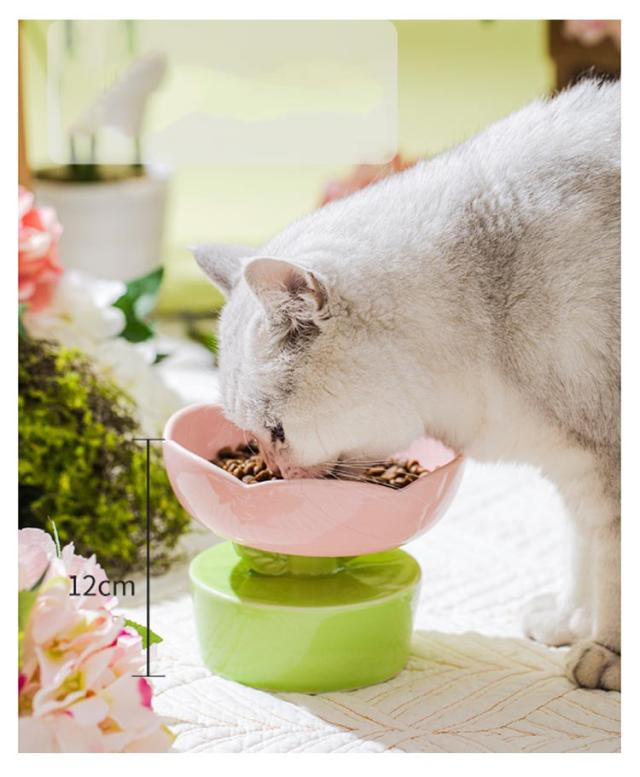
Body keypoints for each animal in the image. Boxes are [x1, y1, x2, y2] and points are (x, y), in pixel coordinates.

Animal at [193, 79, 621, 691]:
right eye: (251, 441)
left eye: (277, 432)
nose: (274, 477)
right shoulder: (577, 468)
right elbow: (583, 553)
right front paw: (572, 622)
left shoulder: (603, 462)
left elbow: (611, 569)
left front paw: (607, 652)